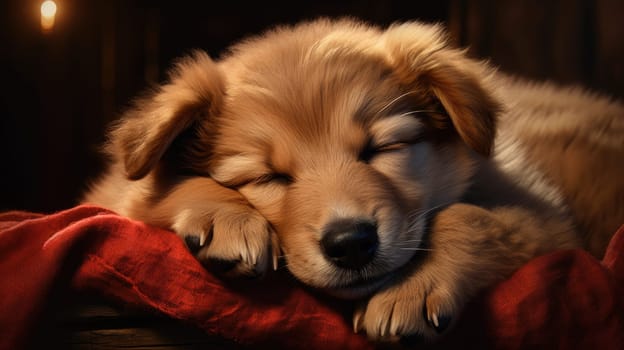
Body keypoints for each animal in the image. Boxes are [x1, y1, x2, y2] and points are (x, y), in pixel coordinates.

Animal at [84, 18, 624, 342]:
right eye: (268, 177)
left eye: (380, 150)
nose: (351, 244)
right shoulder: (115, 191)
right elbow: (148, 190)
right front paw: (229, 218)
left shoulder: (548, 222)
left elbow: (469, 216)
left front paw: (412, 289)